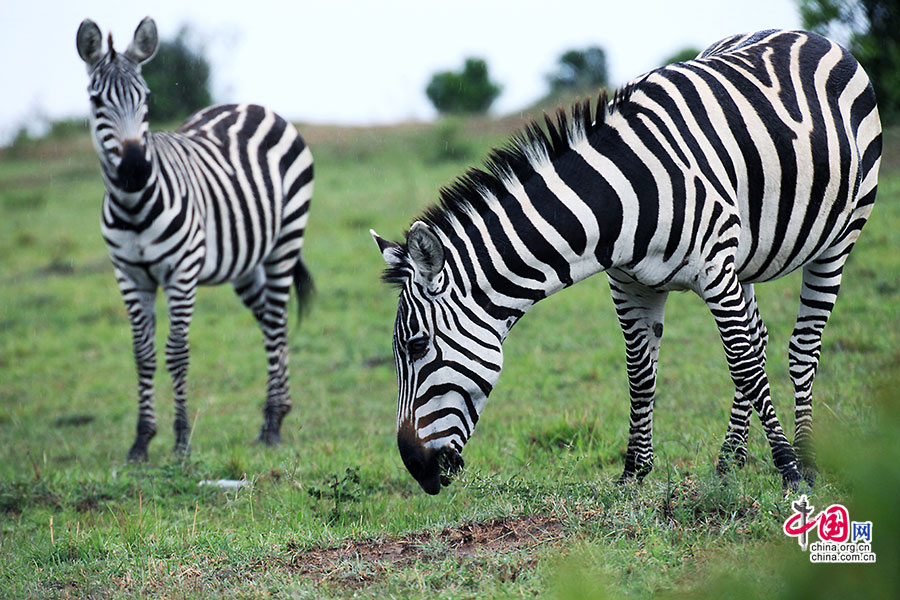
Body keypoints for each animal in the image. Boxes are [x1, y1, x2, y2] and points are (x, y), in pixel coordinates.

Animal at [78, 18, 316, 460]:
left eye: (146, 98)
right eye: (96, 101)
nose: (135, 169)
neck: (134, 206)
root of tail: (252, 106)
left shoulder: (181, 272)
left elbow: (177, 352)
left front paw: (182, 439)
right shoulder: (129, 276)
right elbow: (143, 354)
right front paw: (141, 441)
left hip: (285, 241)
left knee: (276, 323)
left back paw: (273, 424)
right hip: (246, 264)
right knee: (269, 323)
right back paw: (277, 413)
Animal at [370, 30, 880, 494]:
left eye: (416, 345)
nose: (416, 469)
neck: (619, 196)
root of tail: (808, 34)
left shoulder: (715, 270)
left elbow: (745, 367)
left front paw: (789, 470)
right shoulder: (630, 284)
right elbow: (641, 374)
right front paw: (634, 473)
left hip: (839, 238)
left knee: (800, 348)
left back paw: (805, 458)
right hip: (746, 259)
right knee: (759, 337)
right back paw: (730, 460)